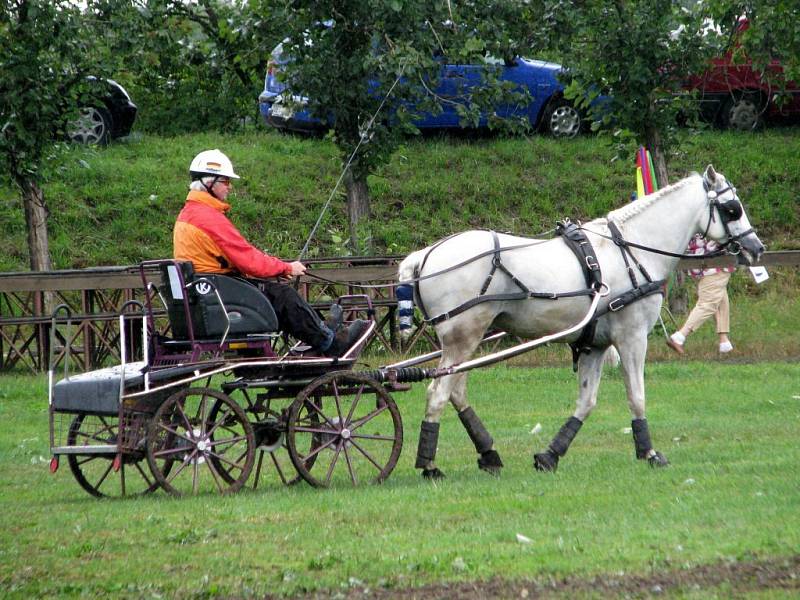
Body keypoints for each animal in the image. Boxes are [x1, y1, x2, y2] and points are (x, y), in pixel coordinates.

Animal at [398, 164, 764, 478]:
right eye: (732, 208)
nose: (756, 247)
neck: (632, 251)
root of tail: (425, 256)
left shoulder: (594, 345)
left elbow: (586, 402)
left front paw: (550, 455)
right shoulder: (632, 337)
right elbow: (637, 396)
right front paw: (649, 452)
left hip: (466, 341)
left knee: (456, 392)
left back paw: (489, 454)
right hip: (462, 338)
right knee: (438, 393)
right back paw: (429, 465)